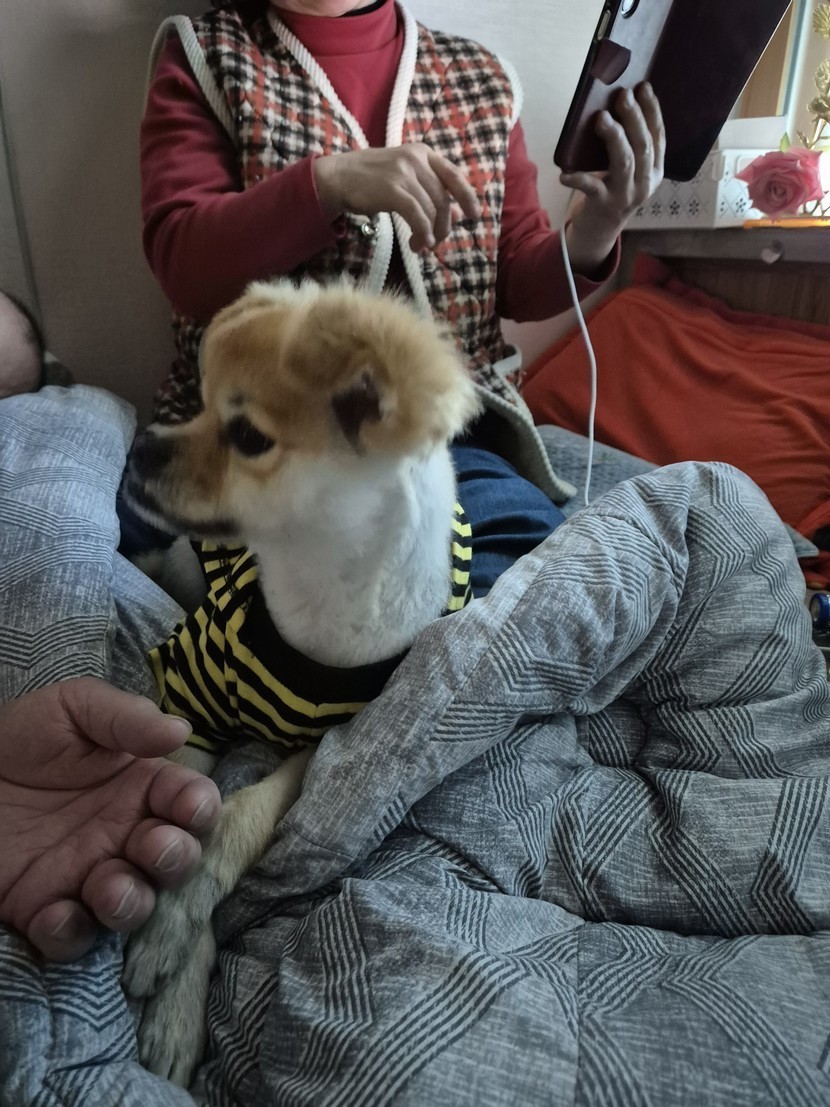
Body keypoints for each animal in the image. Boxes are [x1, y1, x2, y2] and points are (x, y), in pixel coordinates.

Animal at [120, 277, 480, 1085]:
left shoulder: (323, 745)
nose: (140, 446)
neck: (309, 599)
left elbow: (236, 814)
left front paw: (174, 935)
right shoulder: (192, 692)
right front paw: (171, 950)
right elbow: (178, 800)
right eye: (196, 402)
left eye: (249, 437)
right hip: (186, 567)